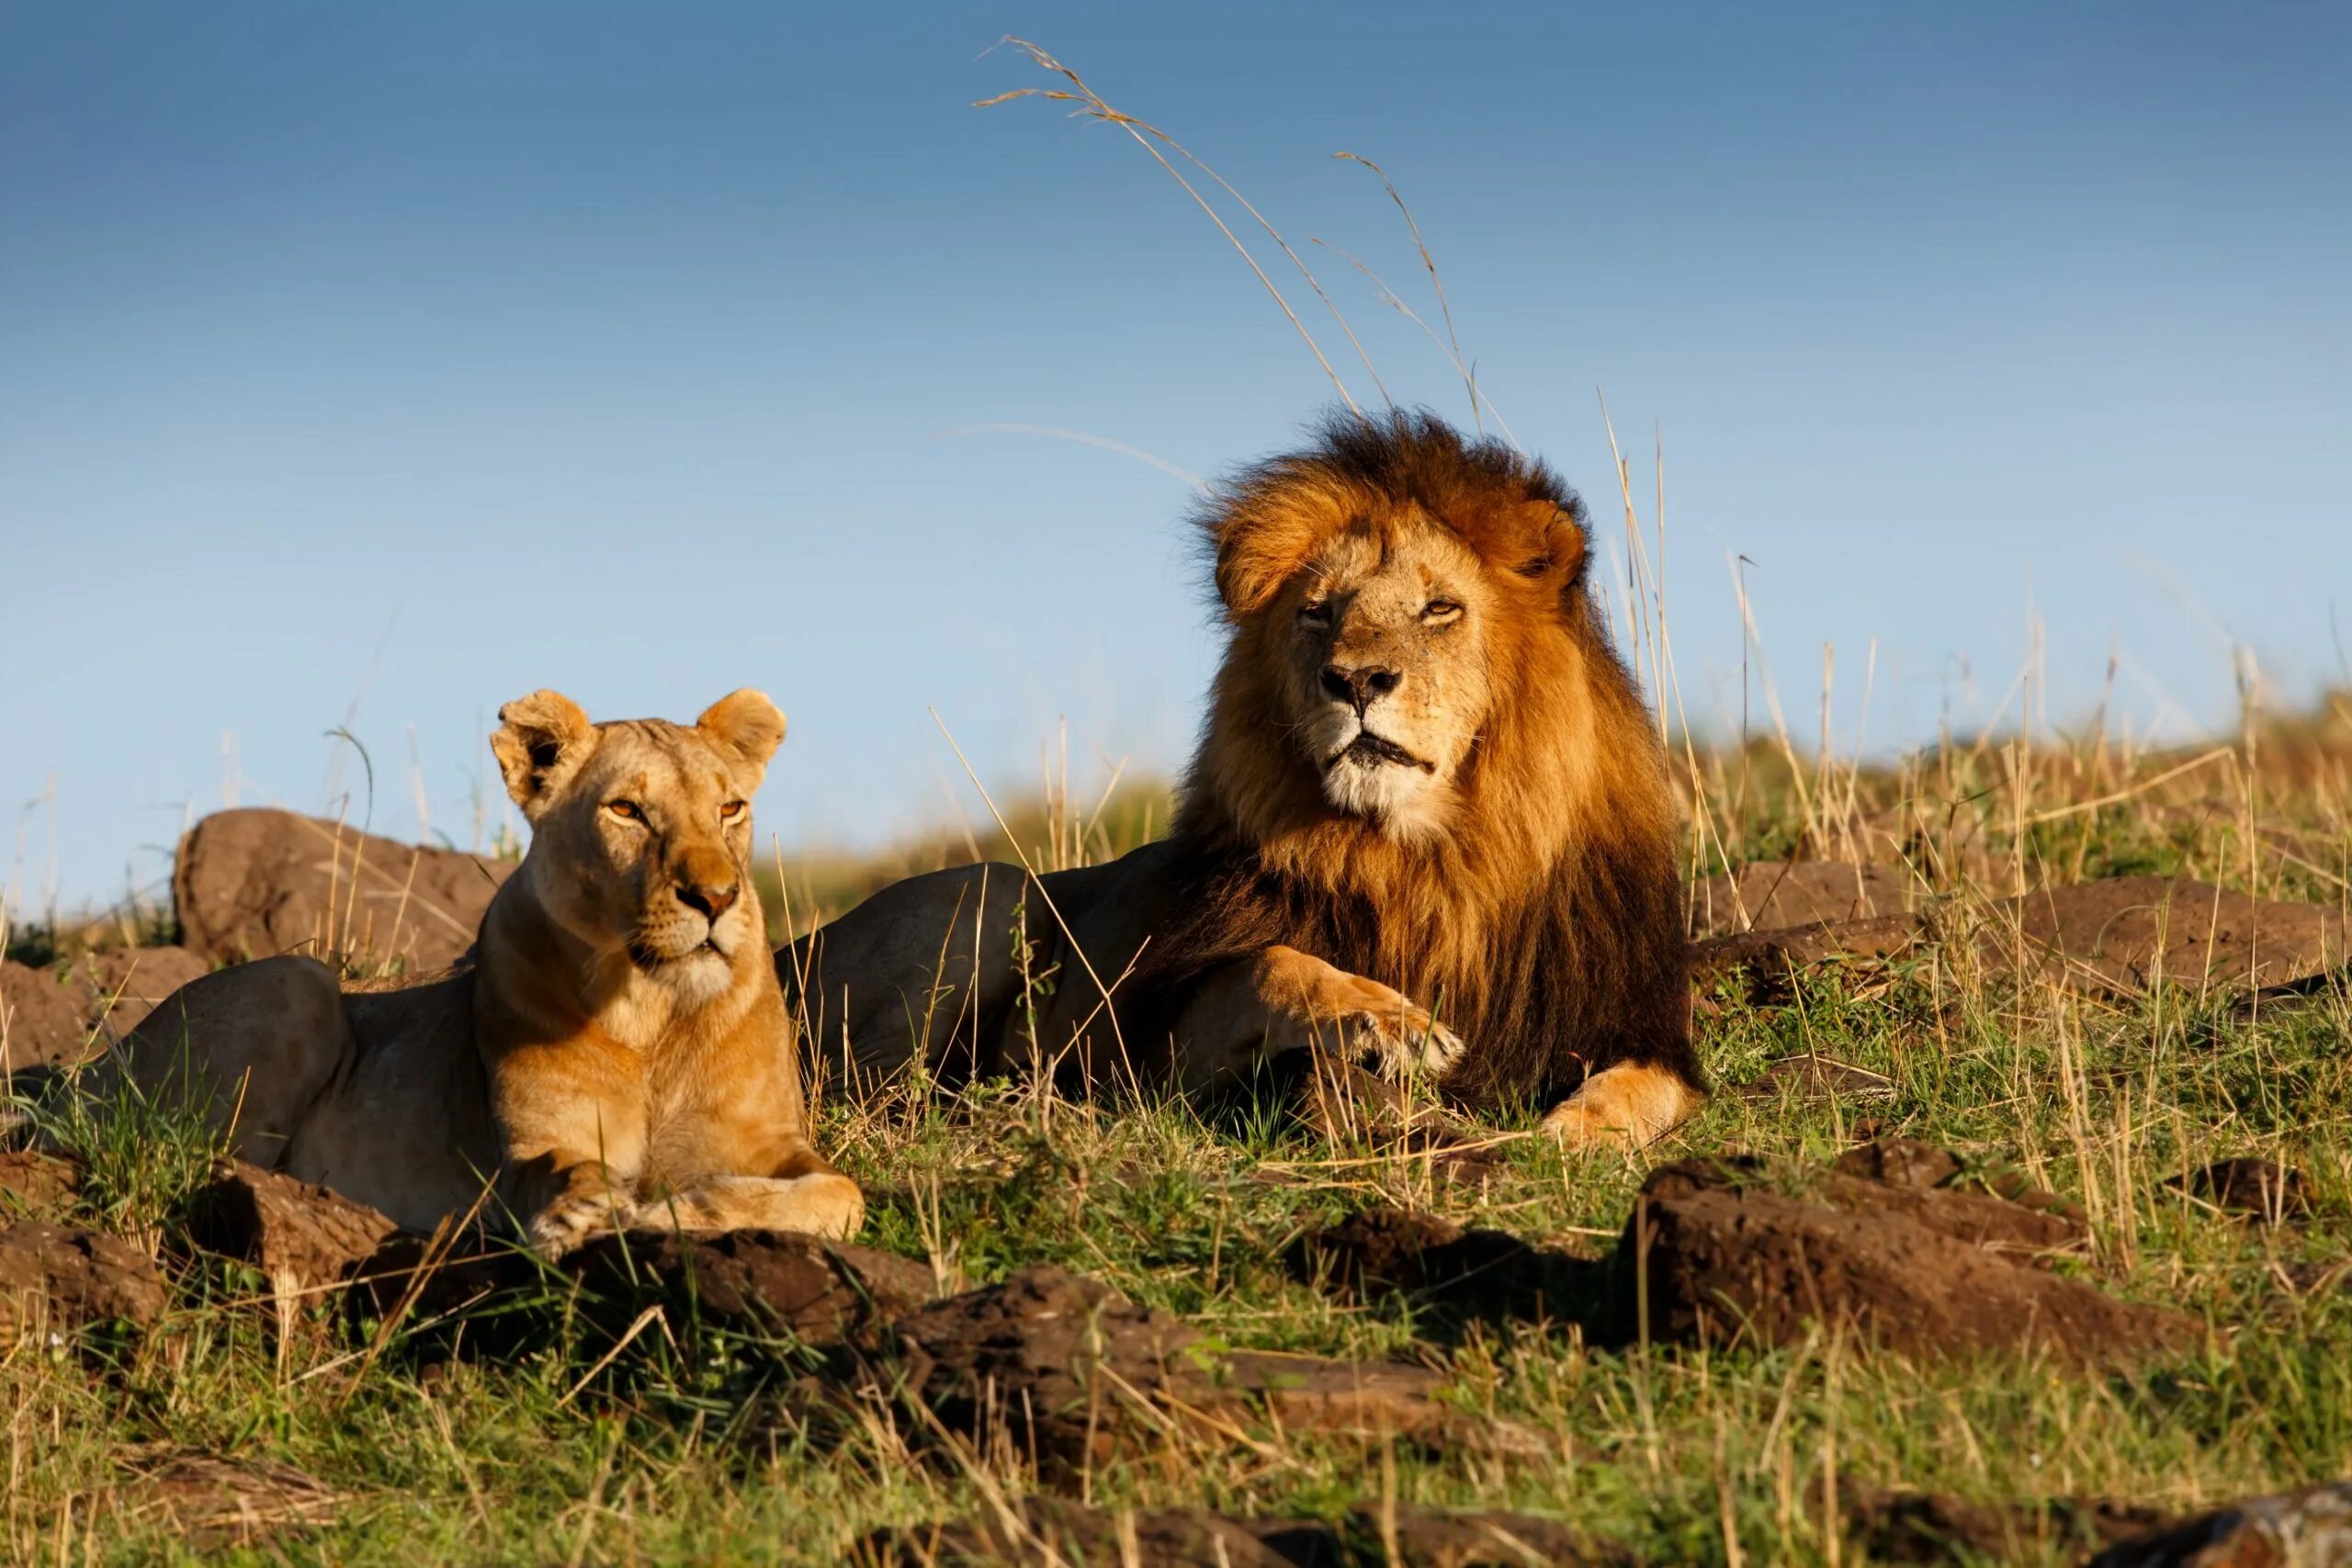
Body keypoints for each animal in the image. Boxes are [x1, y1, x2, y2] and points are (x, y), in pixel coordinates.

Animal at [106, 686, 865, 1250]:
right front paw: (583, 1211)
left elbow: (842, 1191)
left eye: (730, 807)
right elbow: (559, 1169)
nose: (715, 897)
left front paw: (676, 1209)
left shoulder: (769, 1142)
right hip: (297, 981)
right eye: (626, 809)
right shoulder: (534, 1145)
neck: (651, 1007)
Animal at [799, 413, 1702, 1152]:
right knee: (859, 1087)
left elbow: (1648, 1088)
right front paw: (1394, 1024)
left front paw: (1571, 1134)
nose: (1357, 680)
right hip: (988, 893)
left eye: (1440, 608)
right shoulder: (1158, 1052)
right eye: (1319, 611)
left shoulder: (1633, 1021)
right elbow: (1275, 961)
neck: (1425, 861)